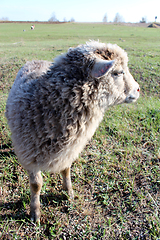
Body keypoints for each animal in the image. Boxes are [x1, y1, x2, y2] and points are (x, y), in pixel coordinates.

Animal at [5, 40, 140, 222]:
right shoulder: (29, 156)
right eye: (118, 72)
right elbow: (36, 185)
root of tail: (35, 60)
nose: (138, 89)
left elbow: (66, 170)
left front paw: (69, 193)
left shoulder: (68, 151)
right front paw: (35, 213)